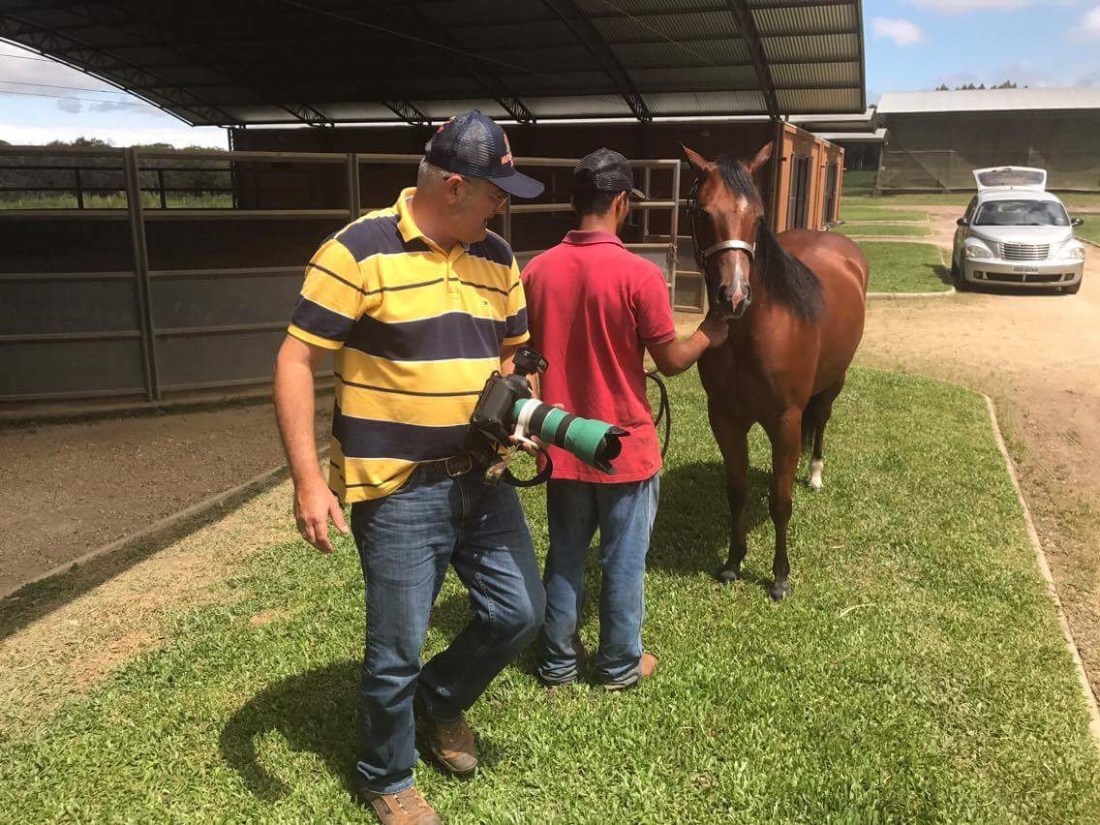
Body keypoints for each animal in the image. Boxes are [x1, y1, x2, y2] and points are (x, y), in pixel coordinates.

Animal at [683, 143, 869, 601]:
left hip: (833, 383)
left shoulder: (785, 422)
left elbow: (781, 502)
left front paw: (780, 576)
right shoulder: (725, 419)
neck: (750, 337)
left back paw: (815, 473)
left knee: (821, 420)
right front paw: (733, 562)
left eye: (759, 215)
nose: (733, 297)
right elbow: (737, 492)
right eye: (703, 213)